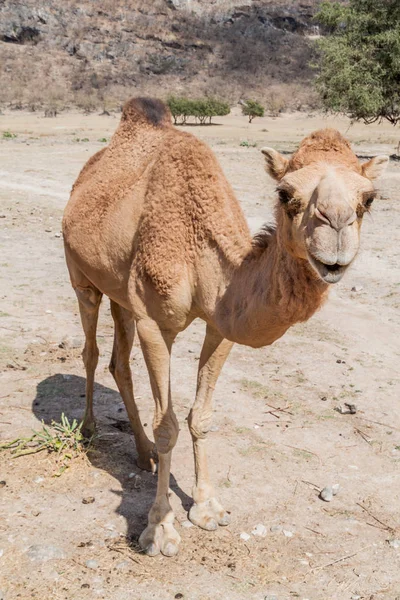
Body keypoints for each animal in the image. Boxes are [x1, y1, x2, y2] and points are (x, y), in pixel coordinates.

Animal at [61, 96, 388, 556]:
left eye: (368, 199)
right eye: (286, 194)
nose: (337, 231)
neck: (202, 248)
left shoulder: (220, 326)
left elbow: (201, 417)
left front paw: (208, 508)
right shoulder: (154, 322)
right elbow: (168, 425)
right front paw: (160, 529)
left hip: (120, 293)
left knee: (118, 362)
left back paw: (142, 453)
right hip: (81, 275)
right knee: (91, 350)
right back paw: (90, 431)